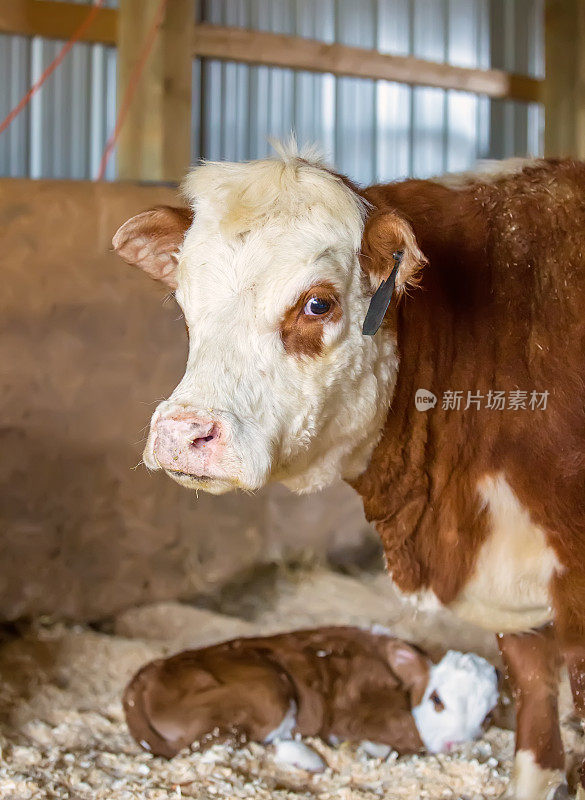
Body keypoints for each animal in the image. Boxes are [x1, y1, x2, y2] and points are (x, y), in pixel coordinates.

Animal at [124, 624, 498, 768]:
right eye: (437, 700)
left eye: (488, 717)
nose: (455, 744)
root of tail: (147, 674)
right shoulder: (354, 707)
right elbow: (405, 736)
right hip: (269, 689)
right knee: (231, 741)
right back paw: (310, 757)